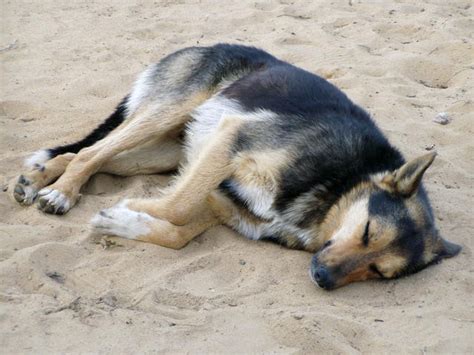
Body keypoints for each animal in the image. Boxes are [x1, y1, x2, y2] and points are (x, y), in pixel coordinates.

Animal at [12, 44, 462, 290]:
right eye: (367, 231)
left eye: (379, 271)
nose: (322, 278)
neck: (338, 187)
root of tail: (209, 45)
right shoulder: (232, 138)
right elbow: (177, 207)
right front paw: (129, 210)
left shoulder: (223, 203)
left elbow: (178, 234)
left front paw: (123, 221)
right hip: (171, 111)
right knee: (91, 153)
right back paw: (59, 193)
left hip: (168, 149)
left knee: (90, 156)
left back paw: (38, 178)